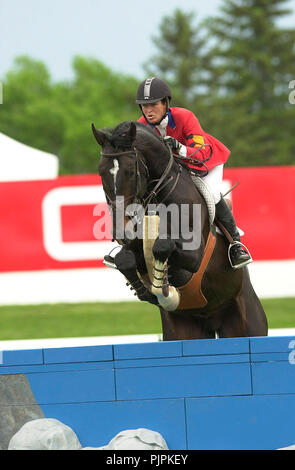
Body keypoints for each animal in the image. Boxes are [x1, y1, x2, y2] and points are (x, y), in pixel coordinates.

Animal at [92, 120, 268, 342]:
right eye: (101, 172)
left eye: (131, 171)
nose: (121, 231)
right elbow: (125, 259)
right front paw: (145, 291)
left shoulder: (194, 256)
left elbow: (162, 247)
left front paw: (162, 281)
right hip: (184, 332)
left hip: (245, 322)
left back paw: (239, 253)